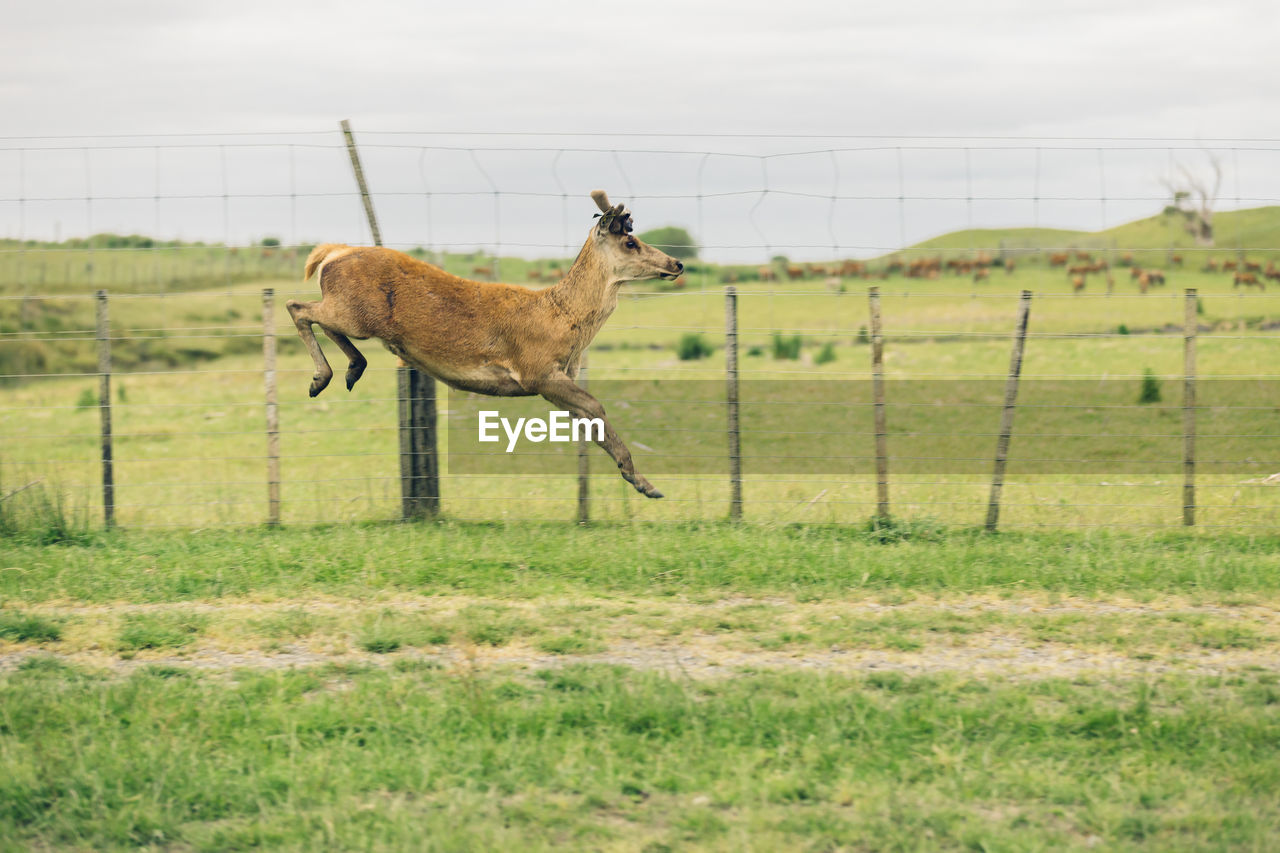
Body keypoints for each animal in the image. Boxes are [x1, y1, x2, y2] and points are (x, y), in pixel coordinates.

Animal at [286, 189, 686, 499]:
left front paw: (642, 482)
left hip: (354, 314)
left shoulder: (557, 381)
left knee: (319, 320)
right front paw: (645, 482)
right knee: (298, 307)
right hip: (355, 312)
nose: (677, 263)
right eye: (630, 241)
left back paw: (352, 369)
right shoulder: (536, 370)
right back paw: (321, 378)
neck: (563, 319)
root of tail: (330, 254)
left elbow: (591, 420)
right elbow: (597, 406)